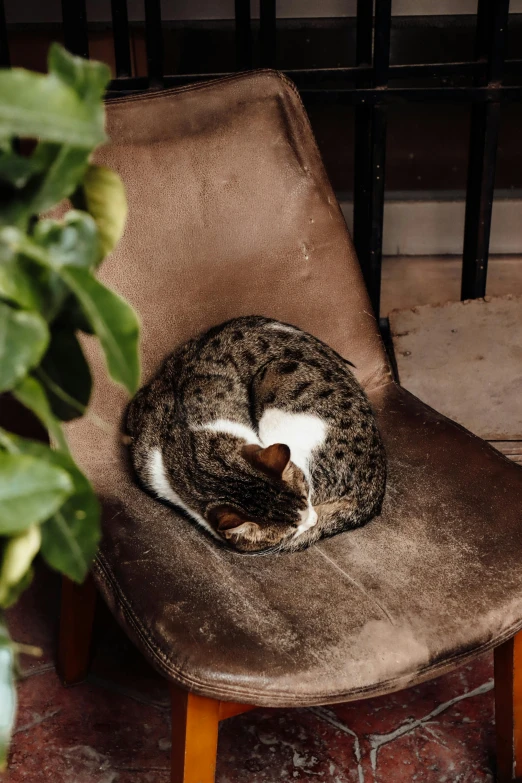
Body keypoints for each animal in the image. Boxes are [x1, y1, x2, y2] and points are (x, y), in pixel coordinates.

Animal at [125, 316, 384, 556]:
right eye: (292, 529)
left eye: (308, 495)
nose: (313, 520)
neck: (182, 441)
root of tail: (372, 492)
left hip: (279, 372)